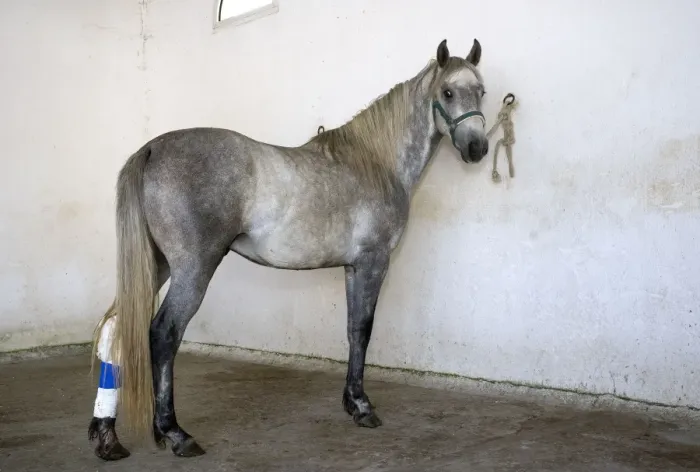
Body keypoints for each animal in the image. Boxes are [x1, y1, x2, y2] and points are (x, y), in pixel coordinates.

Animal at [87, 38, 489, 461]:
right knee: (164, 334)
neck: (376, 163)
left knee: (113, 328)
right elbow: (364, 329)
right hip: (193, 269)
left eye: (481, 91)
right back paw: (174, 432)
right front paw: (363, 407)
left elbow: (352, 330)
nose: (477, 147)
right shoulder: (373, 262)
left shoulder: (352, 267)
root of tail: (151, 149)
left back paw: (107, 437)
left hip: (157, 265)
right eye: (448, 92)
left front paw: (352, 402)